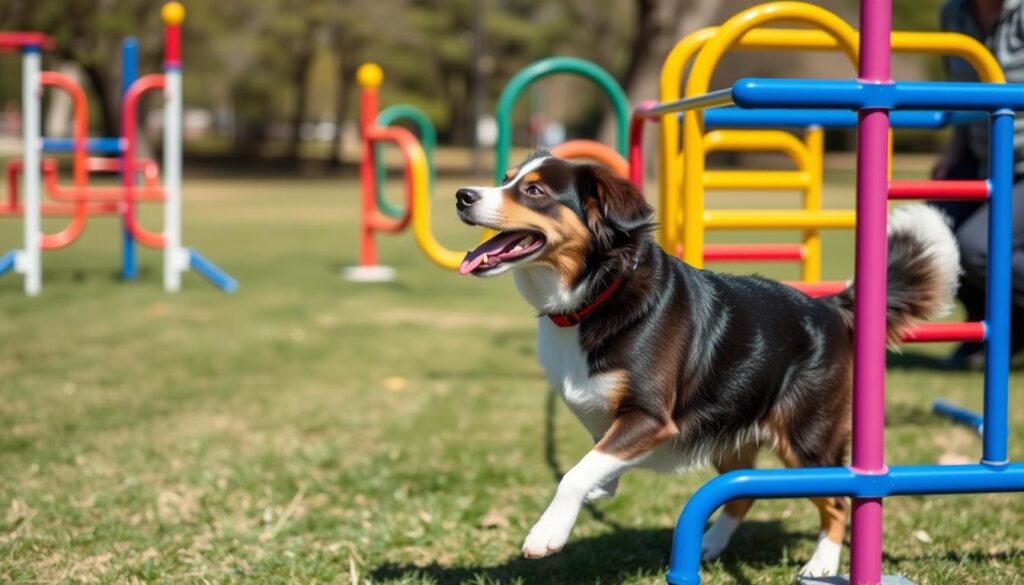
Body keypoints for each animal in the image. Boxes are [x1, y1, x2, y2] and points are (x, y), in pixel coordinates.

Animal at [456, 150, 958, 577]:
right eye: (506, 180)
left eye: (534, 191)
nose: (463, 195)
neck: (598, 292)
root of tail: (831, 306)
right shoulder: (600, 406)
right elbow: (597, 447)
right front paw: (605, 485)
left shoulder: (651, 415)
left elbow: (576, 472)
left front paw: (548, 532)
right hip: (729, 431)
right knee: (741, 493)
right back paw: (710, 543)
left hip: (807, 439)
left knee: (838, 502)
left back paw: (821, 565)